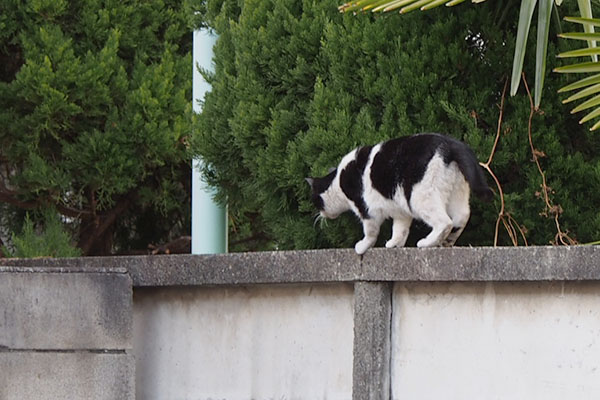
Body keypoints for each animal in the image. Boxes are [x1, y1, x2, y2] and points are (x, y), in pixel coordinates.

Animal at [310, 133, 492, 255]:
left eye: (316, 201)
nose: (319, 215)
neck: (339, 180)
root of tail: (451, 143)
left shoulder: (366, 210)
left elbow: (370, 232)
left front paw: (362, 247)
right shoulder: (400, 211)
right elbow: (400, 230)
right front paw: (394, 243)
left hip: (420, 198)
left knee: (445, 222)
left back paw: (426, 243)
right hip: (456, 192)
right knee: (462, 216)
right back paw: (447, 241)